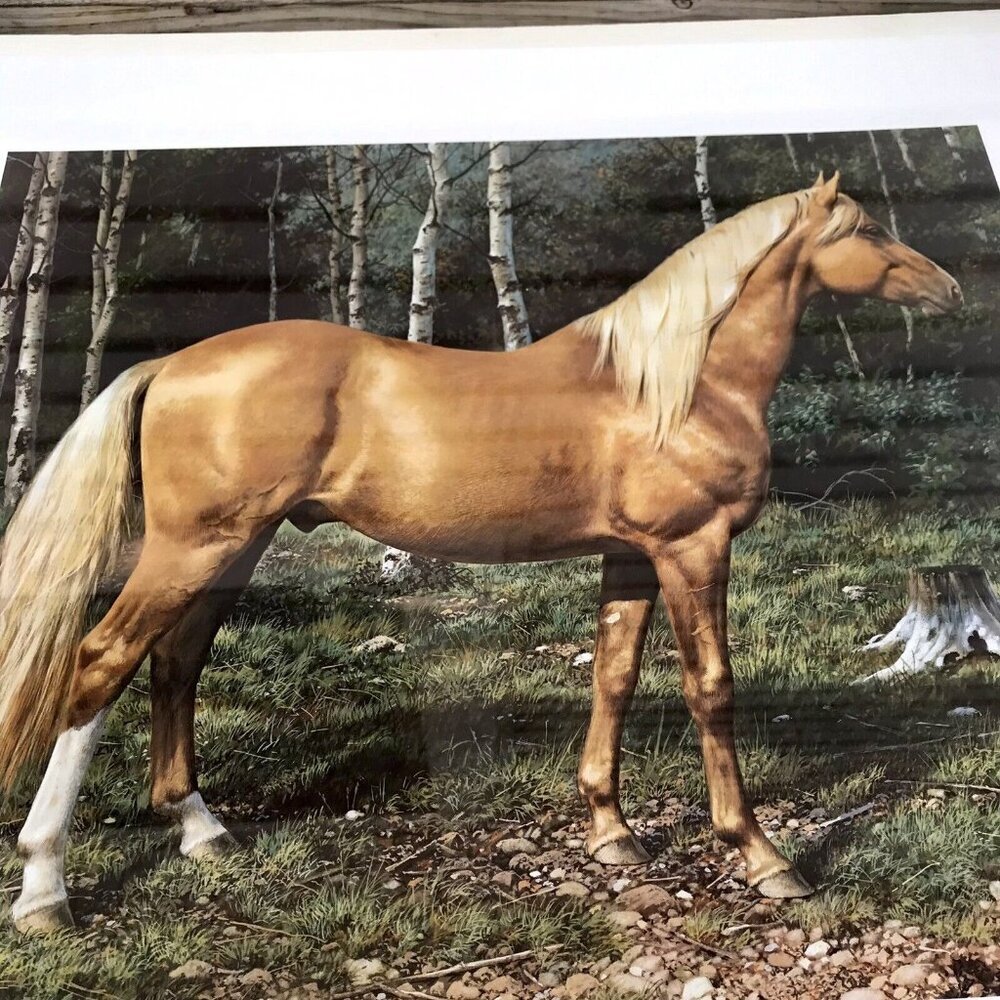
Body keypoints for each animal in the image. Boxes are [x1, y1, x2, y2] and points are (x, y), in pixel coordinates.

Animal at [0, 172, 962, 933]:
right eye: (868, 230)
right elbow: (712, 691)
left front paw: (612, 834)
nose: (950, 292)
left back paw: (202, 830)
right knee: (102, 661)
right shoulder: (693, 549)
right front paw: (763, 856)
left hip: (231, 551)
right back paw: (45, 890)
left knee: (175, 664)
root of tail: (166, 366)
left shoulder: (631, 557)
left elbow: (613, 677)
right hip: (192, 551)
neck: (677, 385)